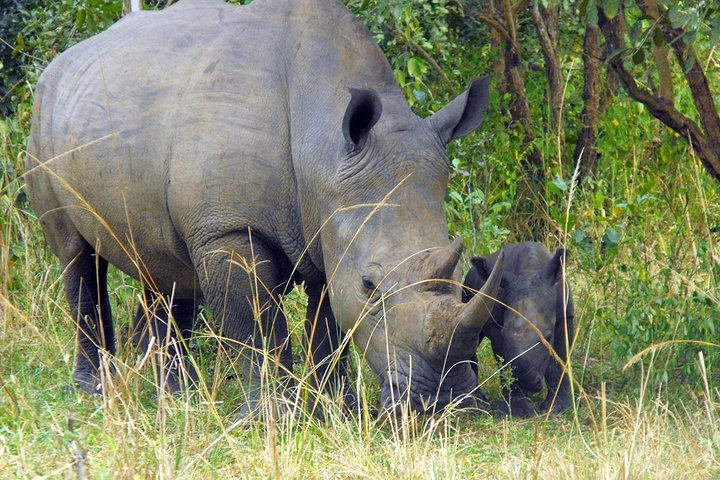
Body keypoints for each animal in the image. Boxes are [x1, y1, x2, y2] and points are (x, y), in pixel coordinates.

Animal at [24, 0, 504, 416]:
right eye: (370, 285)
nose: (446, 398)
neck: (322, 147)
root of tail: (62, 63)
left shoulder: (328, 226)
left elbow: (328, 330)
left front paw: (337, 410)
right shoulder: (229, 229)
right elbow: (259, 328)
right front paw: (271, 419)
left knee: (161, 266)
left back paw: (177, 397)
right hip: (42, 119)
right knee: (77, 257)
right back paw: (94, 390)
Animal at [462, 242, 574, 417]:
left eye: (548, 337)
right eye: (503, 333)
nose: (526, 382)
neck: (530, 271)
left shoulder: (565, 315)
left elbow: (560, 360)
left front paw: (558, 408)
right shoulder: (496, 323)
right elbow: (505, 359)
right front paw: (519, 411)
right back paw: (477, 398)